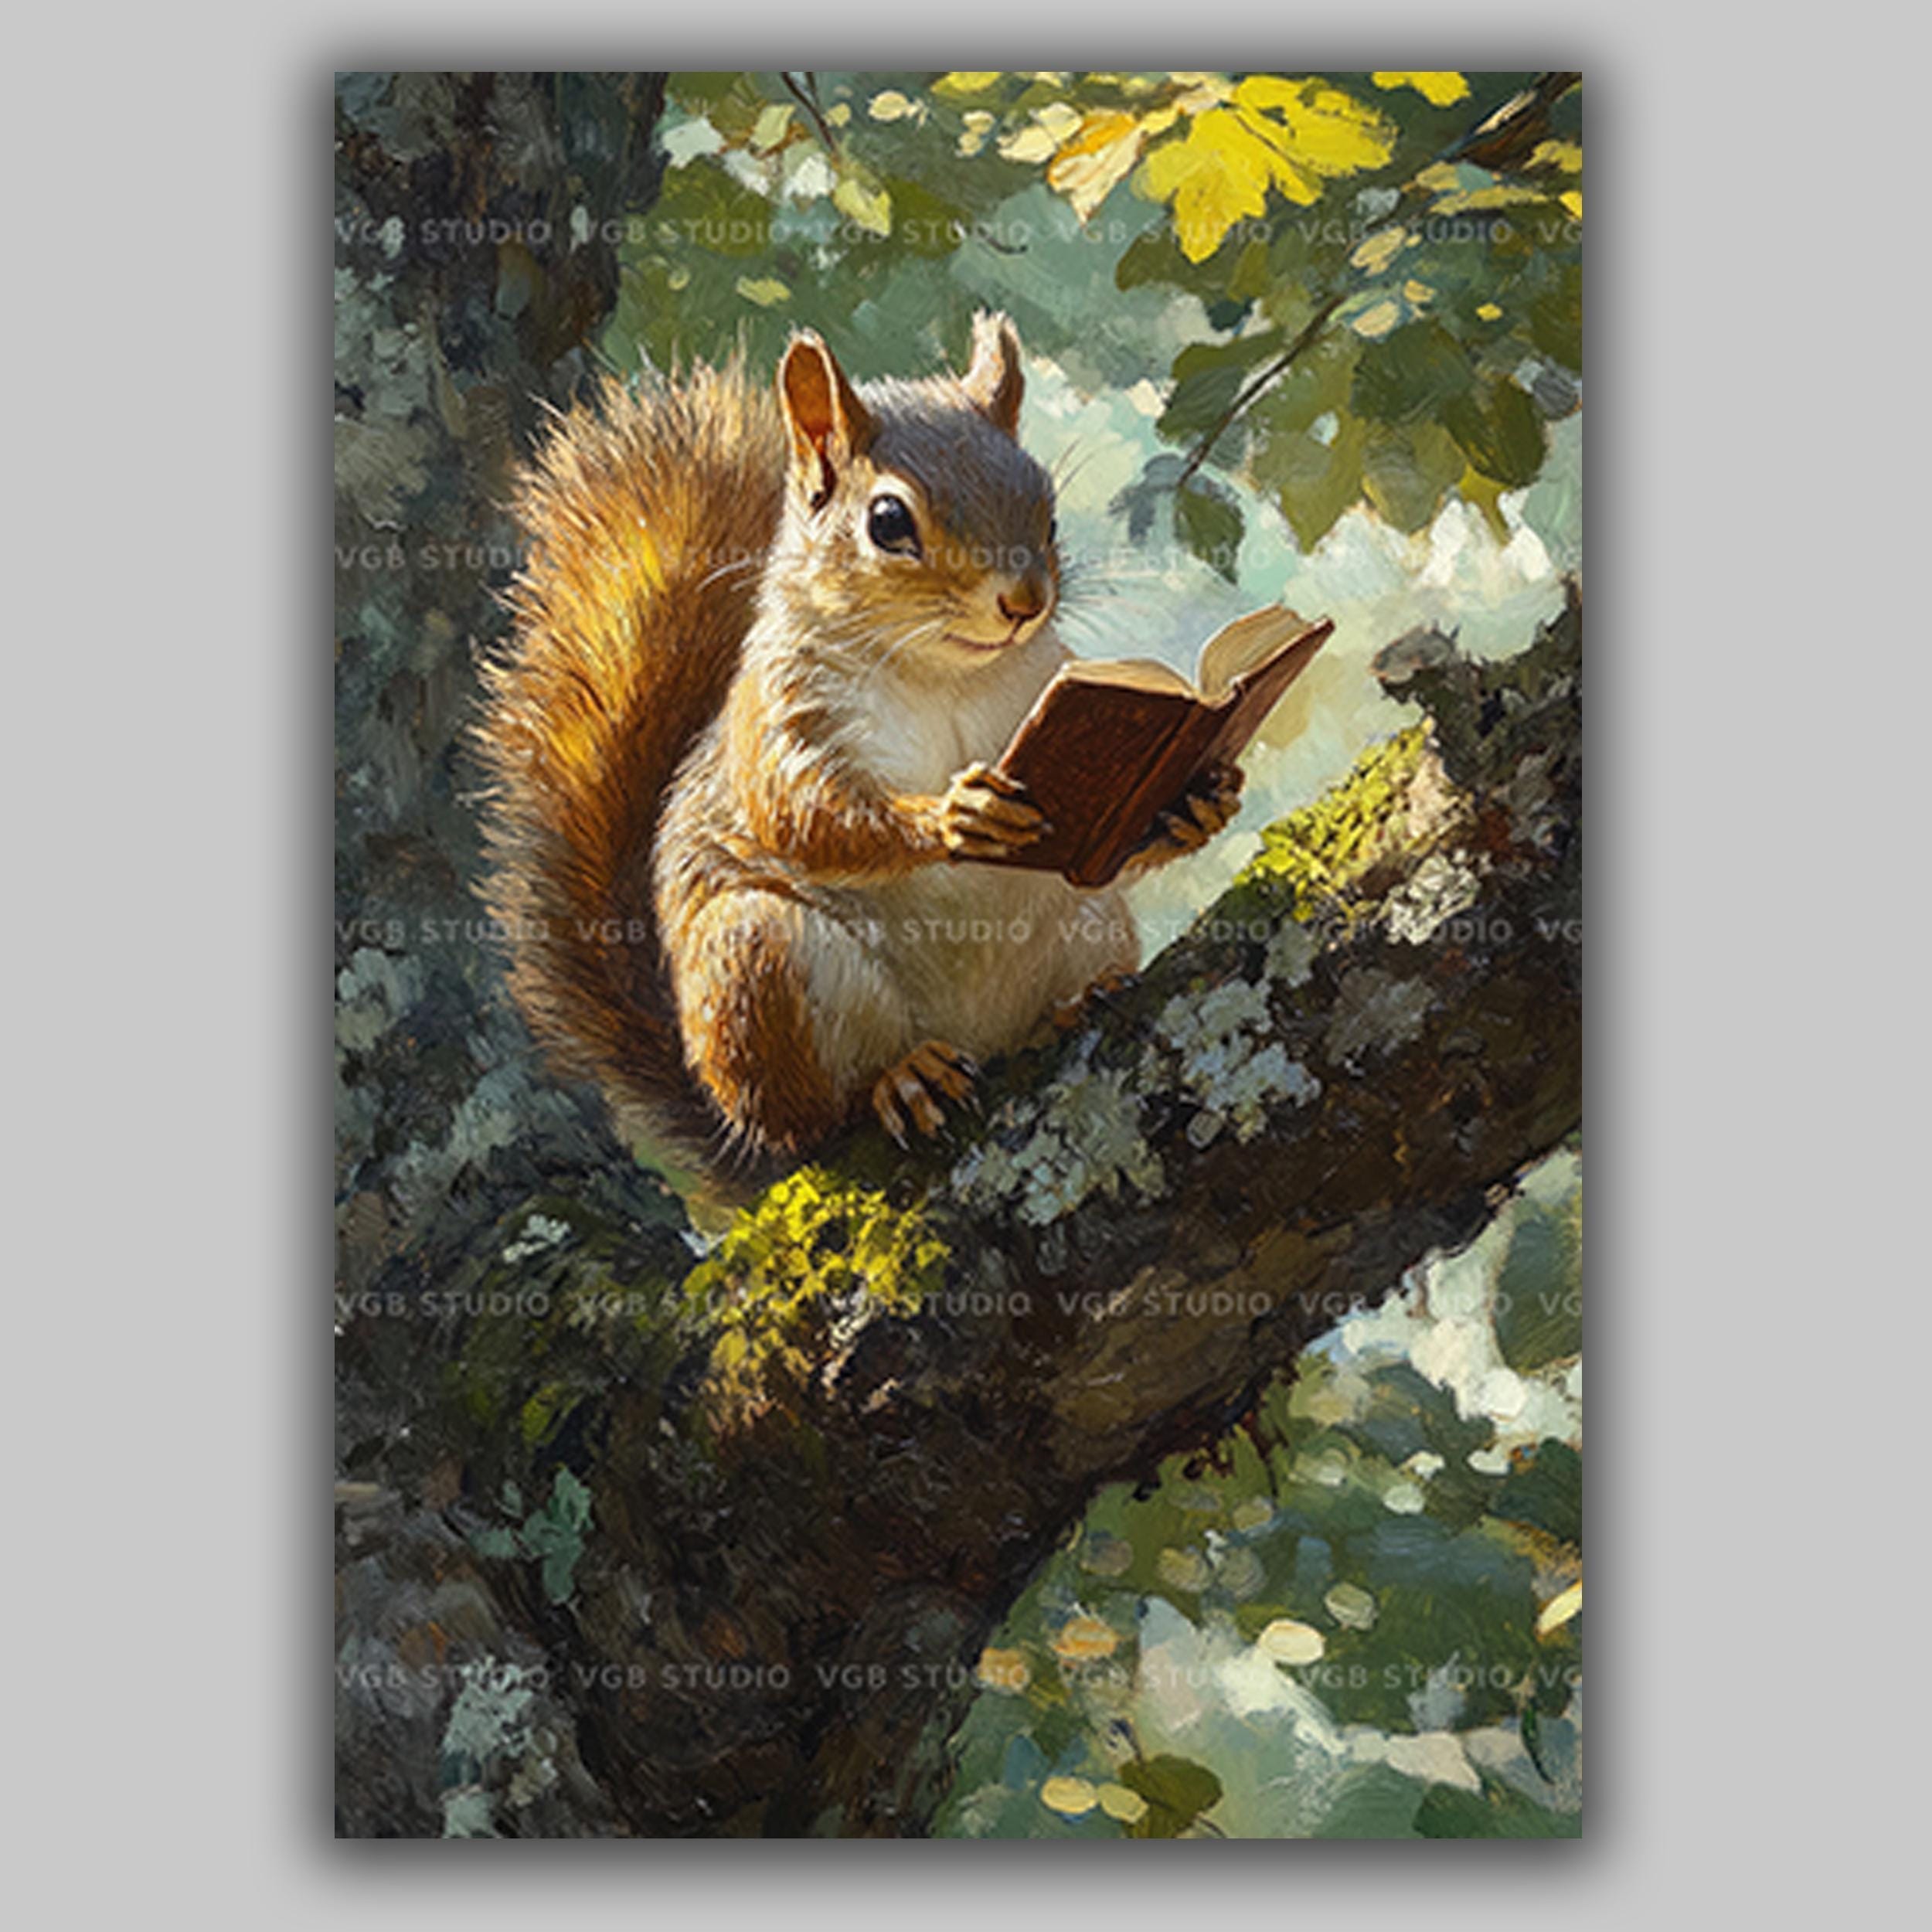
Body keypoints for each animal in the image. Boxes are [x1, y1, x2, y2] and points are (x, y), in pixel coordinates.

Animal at [474, 313, 1244, 1166]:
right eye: (888, 523)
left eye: (1045, 509)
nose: (1023, 602)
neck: (940, 675)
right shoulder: (779, 718)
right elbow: (808, 814)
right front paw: (952, 815)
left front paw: (1196, 805)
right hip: (755, 966)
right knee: (819, 1114)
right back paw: (898, 1080)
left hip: (1090, 921)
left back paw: (1079, 1001)